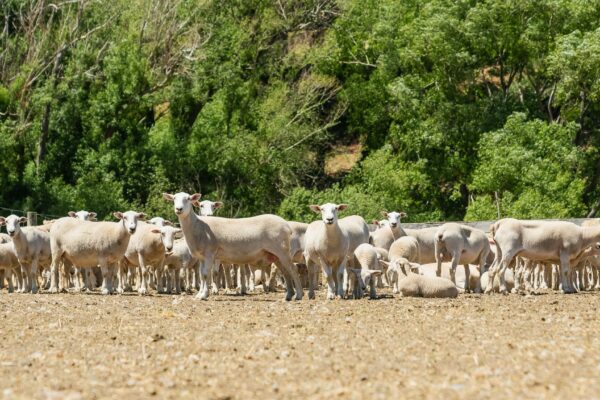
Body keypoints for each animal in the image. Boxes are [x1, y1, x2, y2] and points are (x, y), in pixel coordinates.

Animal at [162, 193, 302, 300]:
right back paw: (289, 295)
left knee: (293, 270)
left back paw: (298, 295)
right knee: (286, 272)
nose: (179, 209)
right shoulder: (201, 256)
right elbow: (202, 275)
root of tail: (286, 225)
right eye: (174, 198)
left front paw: (204, 295)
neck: (198, 226)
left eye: (188, 198)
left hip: (282, 251)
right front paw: (200, 294)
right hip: (275, 255)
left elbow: (206, 274)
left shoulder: (209, 253)